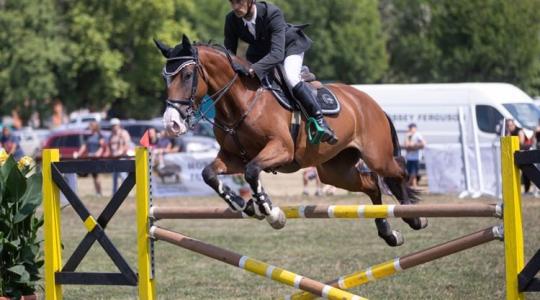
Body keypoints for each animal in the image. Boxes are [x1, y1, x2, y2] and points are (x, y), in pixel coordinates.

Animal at [155, 35, 426, 246]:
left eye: (187, 75)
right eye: (165, 78)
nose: (171, 123)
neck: (242, 101)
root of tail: (370, 102)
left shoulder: (281, 150)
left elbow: (252, 172)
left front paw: (269, 211)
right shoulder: (233, 158)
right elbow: (210, 174)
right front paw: (245, 205)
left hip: (377, 156)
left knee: (399, 171)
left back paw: (415, 216)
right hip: (335, 170)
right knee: (371, 184)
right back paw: (389, 233)